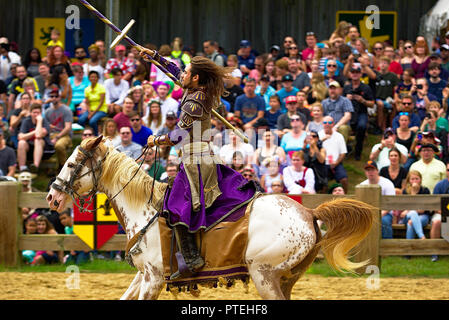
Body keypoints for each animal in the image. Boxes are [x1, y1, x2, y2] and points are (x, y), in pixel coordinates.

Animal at [46, 137, 374, 300]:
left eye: (72, 164)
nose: (51, 196)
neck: (146, 209)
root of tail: (308, 212)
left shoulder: (153, 280)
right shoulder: (144, 275)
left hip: (263, 274)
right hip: (285, 278)